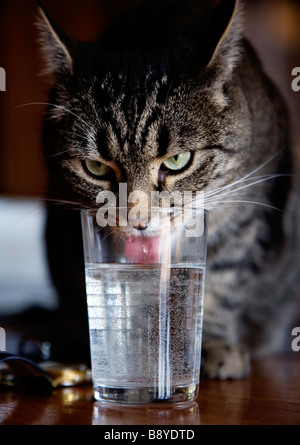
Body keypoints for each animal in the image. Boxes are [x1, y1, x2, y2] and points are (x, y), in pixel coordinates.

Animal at [37, 0, 300, 378]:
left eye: (177, 160)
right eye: (96, 167)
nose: (138, 221)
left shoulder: (248, 216)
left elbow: (221, 283)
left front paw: (209, 347)